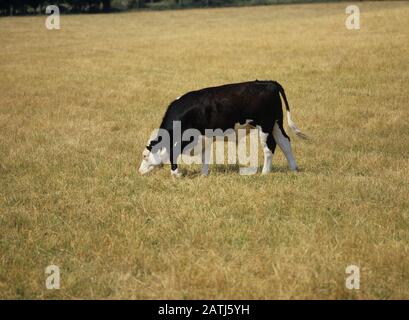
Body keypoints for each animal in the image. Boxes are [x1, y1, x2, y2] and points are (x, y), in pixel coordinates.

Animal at [138, 79, 306, 175]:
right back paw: (294, 168)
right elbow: (204, 157)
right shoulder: (203, 138)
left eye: (145, 156)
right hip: (276, 123)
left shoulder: (188, 138)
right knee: (285, 142)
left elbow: (174, 153)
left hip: (265, 125)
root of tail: (269, 82)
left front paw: (176, 174)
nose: (139, 171)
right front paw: (204, 175)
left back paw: (265, 172)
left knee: (269, 148)